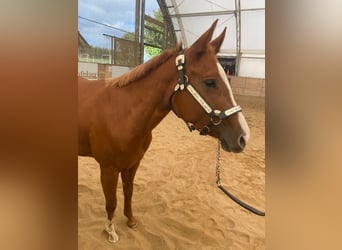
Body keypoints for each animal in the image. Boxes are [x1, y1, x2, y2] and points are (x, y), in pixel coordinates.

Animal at [78, 20, 248, 243]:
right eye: (210, 82)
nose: (243, 137)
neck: (122, 111)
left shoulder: (133, 164)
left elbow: (129, 192)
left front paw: (130, 220)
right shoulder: (108, 168)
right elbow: (111, 201)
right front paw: (111, 231)